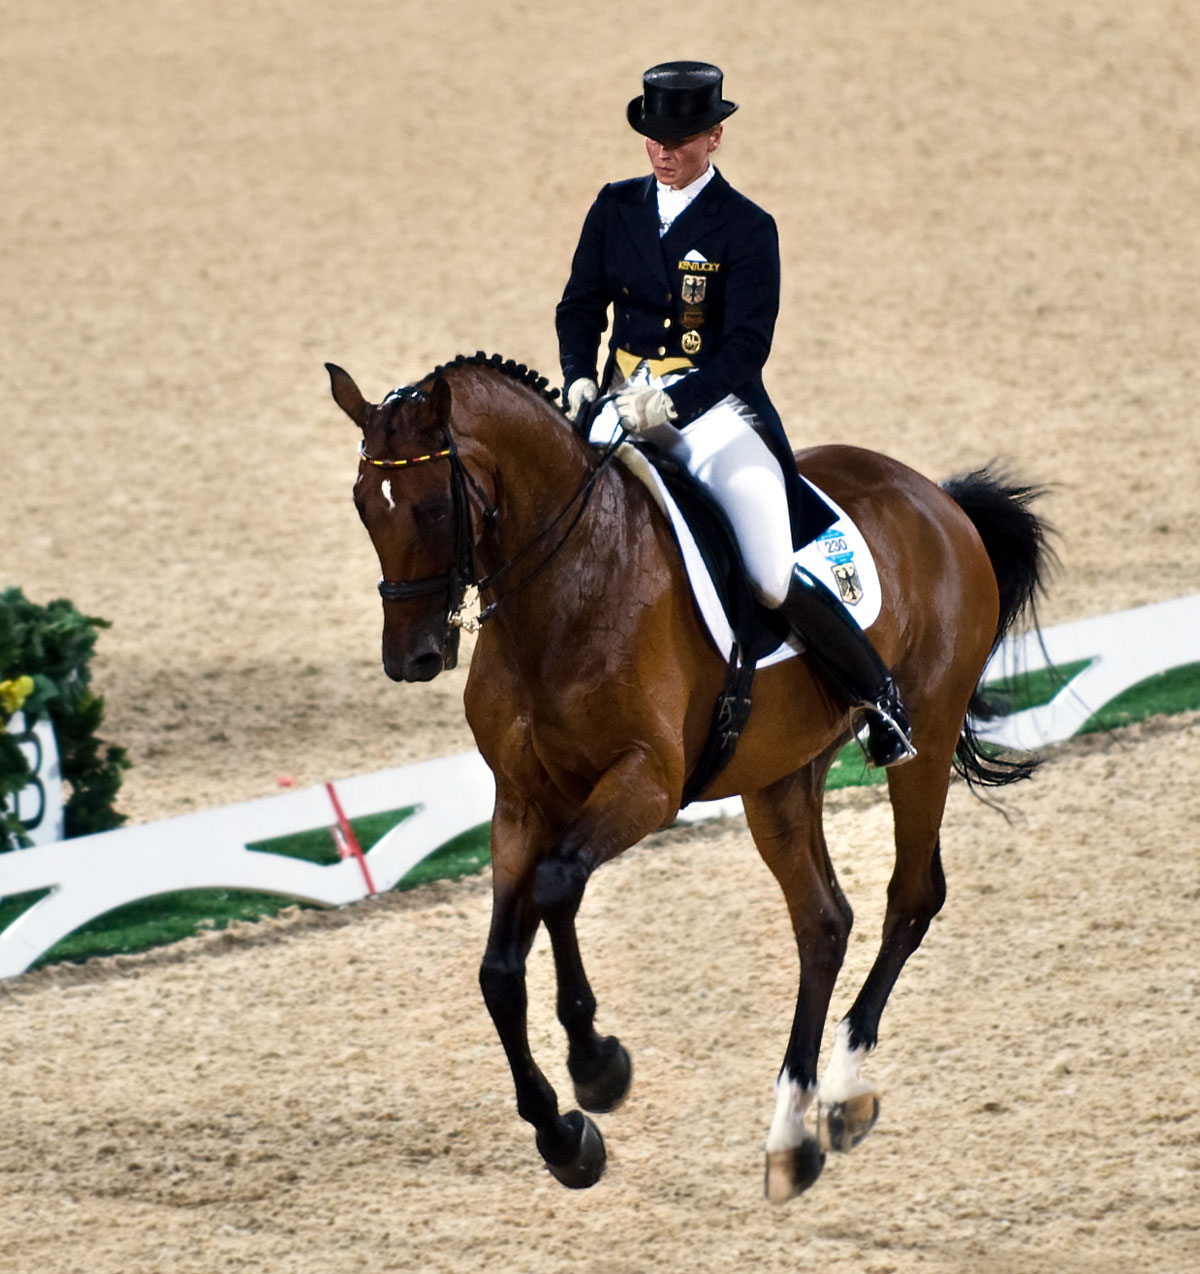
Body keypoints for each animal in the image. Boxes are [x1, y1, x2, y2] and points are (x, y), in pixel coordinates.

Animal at [326, 352, 1052, 1200]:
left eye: (436, 505)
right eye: (362, 505)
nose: (411, 658)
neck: (567, 588)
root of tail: (935, 497)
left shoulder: (647, 783)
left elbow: (557, 885)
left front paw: (596, 1067)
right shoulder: (526, 801)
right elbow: (503, 966)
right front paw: (564, 1133)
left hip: (926, 740)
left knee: (910, 899)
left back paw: (841, 1095)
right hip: (781, 778)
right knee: (823, 924)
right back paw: (790, 1136)